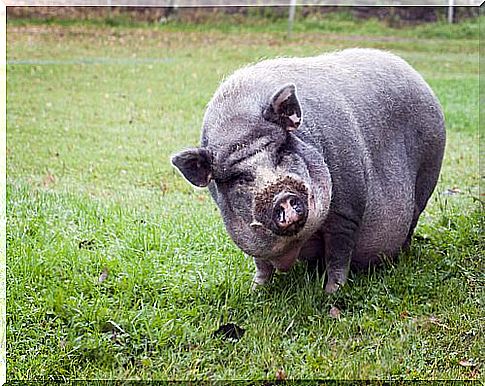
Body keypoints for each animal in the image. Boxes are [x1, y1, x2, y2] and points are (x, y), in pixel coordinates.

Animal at [172, 49, 444, 294]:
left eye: (282, 150)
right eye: (239, 177)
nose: (282, 195)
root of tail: (414, 73)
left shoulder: (347, 211)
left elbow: (338, 255)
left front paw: (331, 293)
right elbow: (261, 264)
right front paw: (255, 291)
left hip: (427, 175)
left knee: (412, 221)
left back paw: (401, 257)